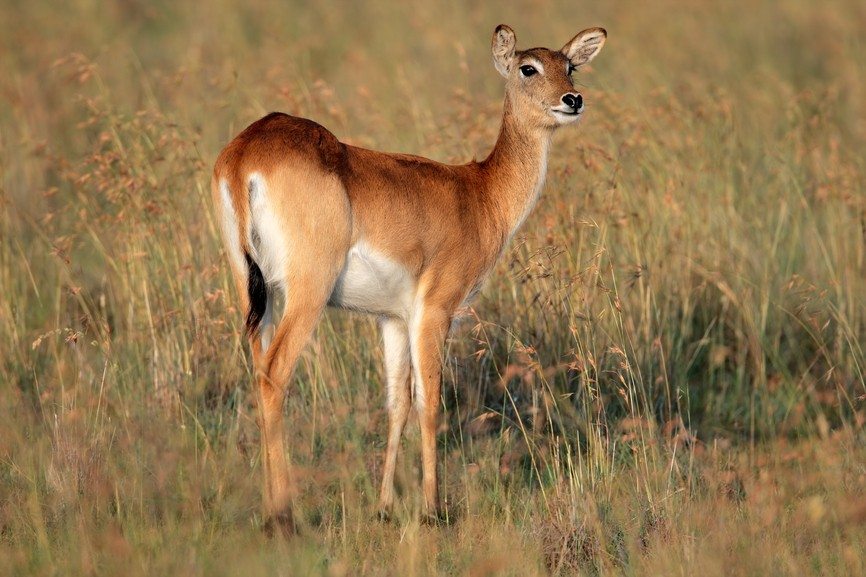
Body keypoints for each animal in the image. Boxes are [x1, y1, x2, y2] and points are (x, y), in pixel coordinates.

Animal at [212, 25, 604, 532]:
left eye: (569, 65)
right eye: (527, 67)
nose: (572, 99)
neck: (482, 195)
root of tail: (245, 152)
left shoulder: (393, 319)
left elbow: (397, 403)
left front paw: (384, 507)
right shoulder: (434, 311)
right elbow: (430, 403)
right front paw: (432, 508)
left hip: (258, 294)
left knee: (259, 370)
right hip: (307, 292)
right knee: (274, 374)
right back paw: (284, 516)